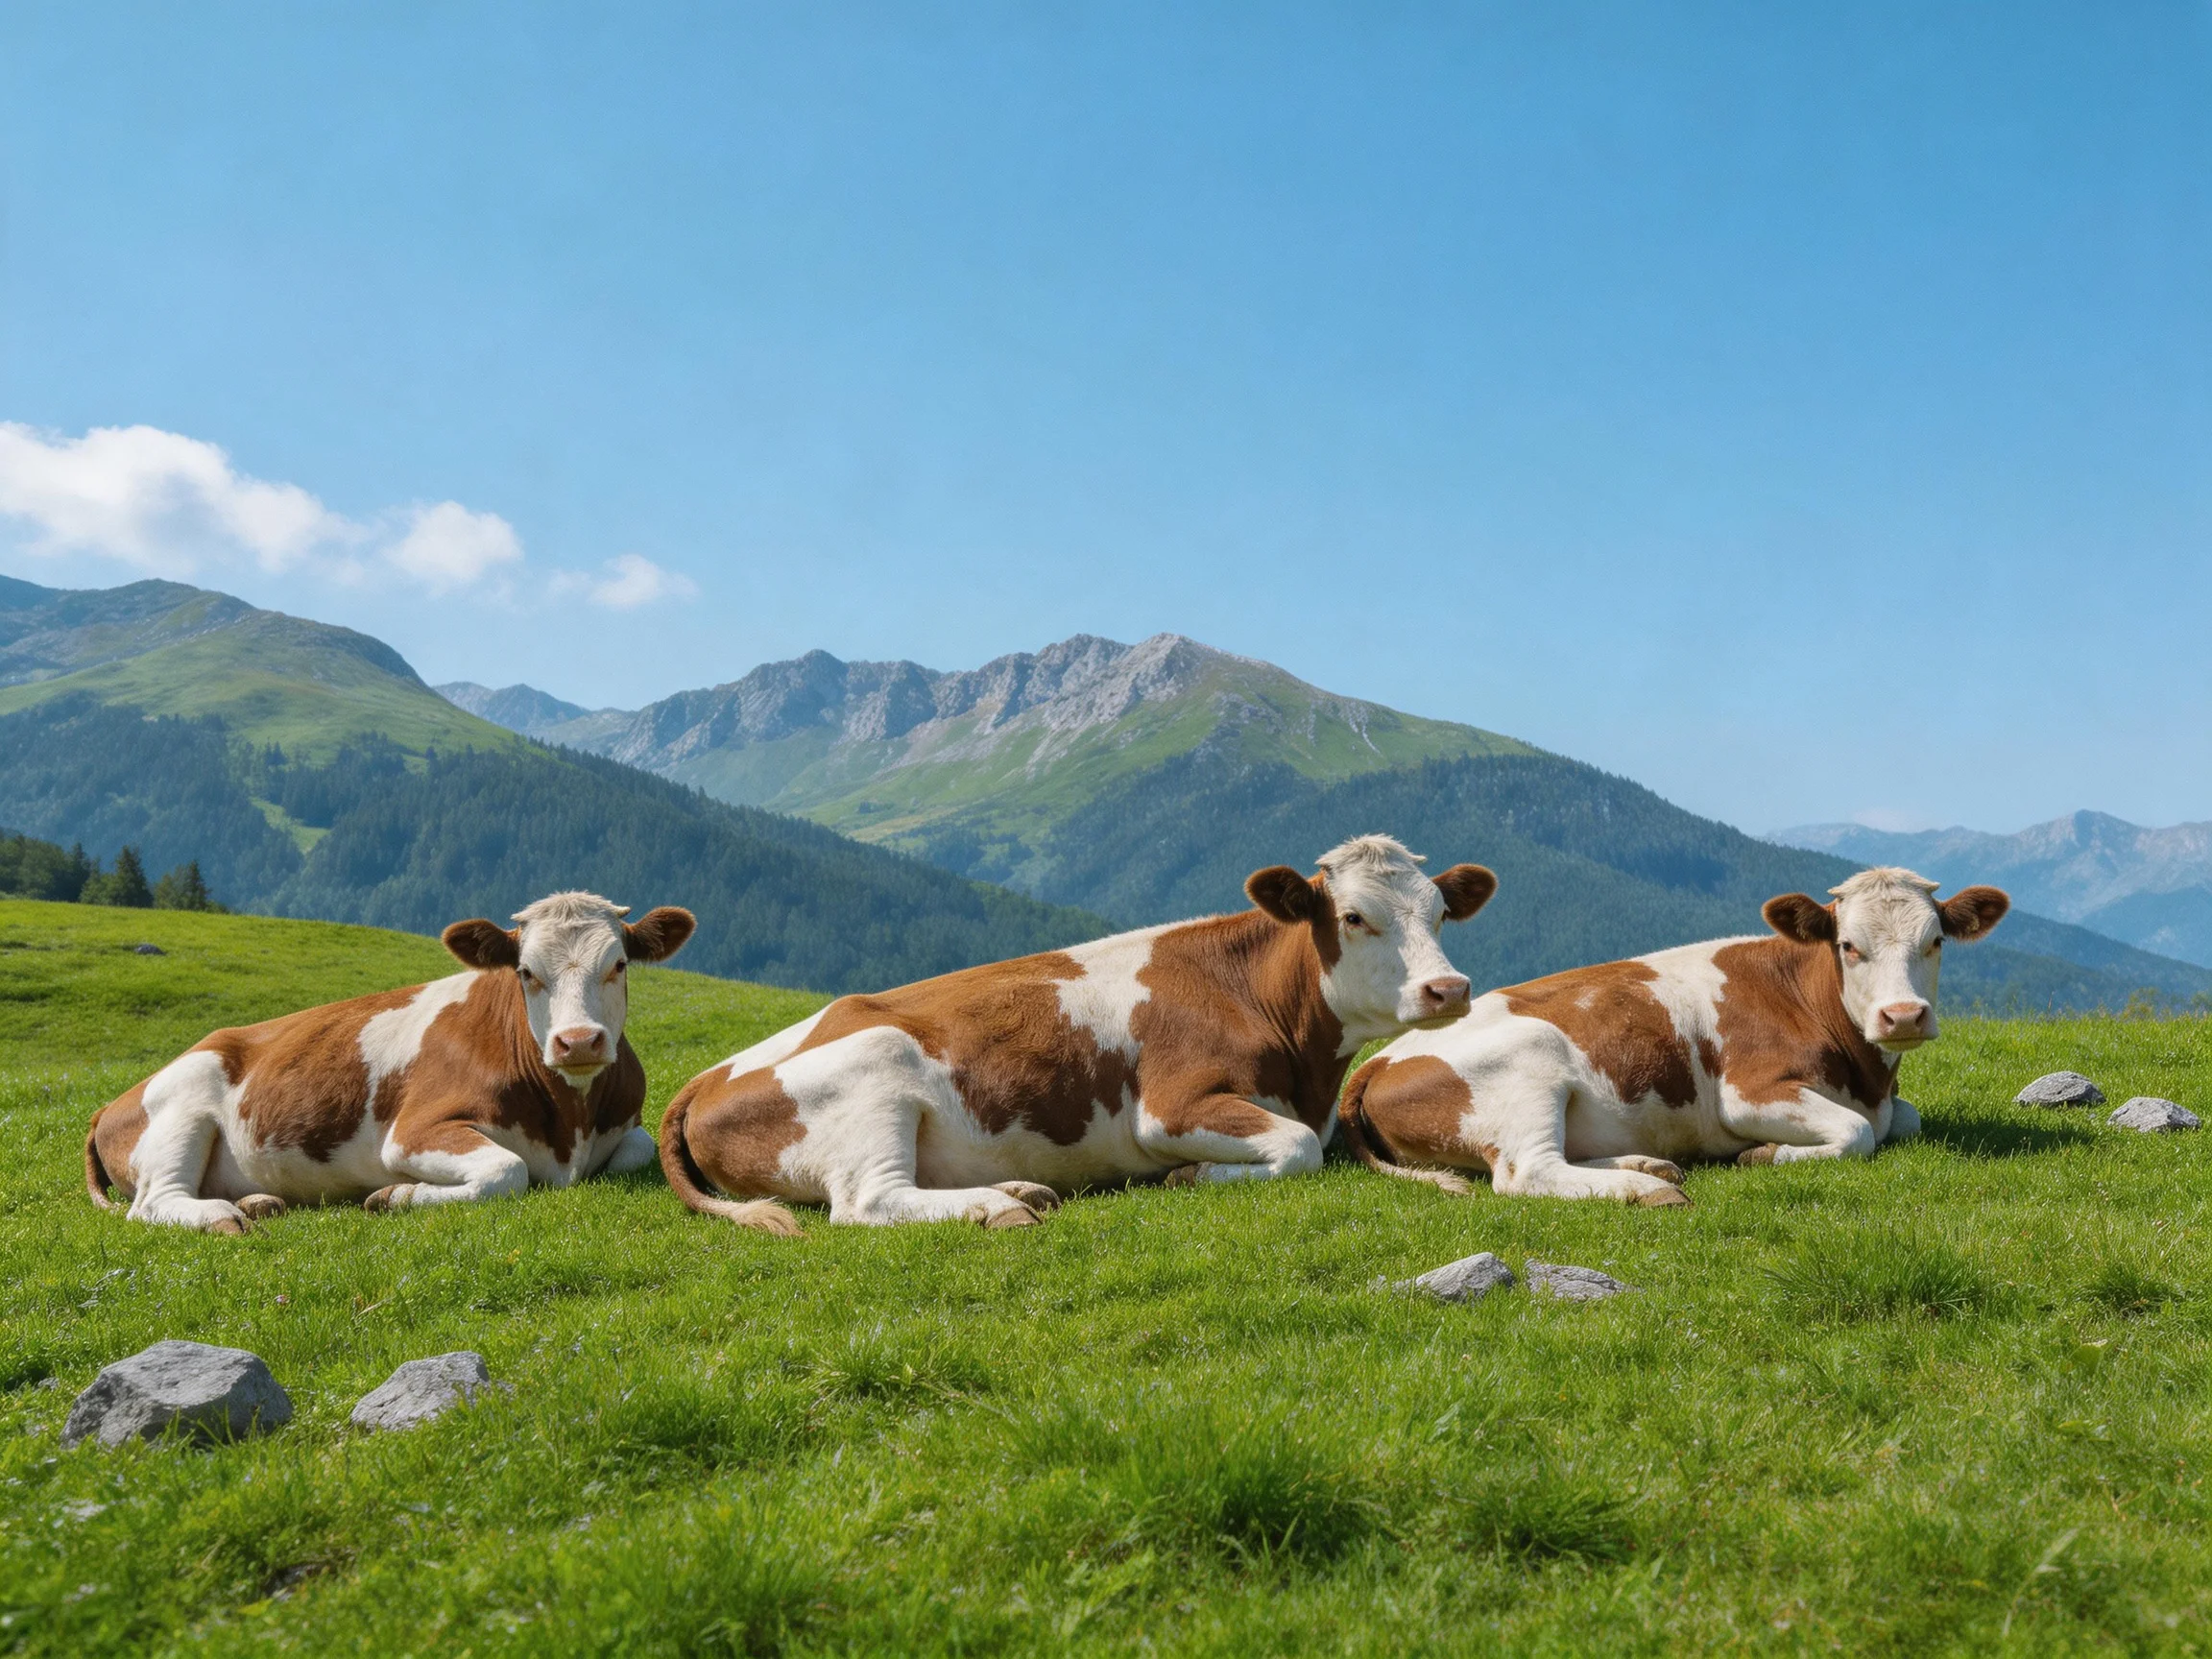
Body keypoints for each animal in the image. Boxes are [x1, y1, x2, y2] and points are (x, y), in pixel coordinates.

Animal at [84, 893, 696, 1232]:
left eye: (619, 964)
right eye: (526, 972)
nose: (579, 1042)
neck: (570, 1123)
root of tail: (108, 1104)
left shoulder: (626, 1125)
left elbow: (637, 1150)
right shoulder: (413, 1132)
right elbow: (507, 1171)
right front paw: (394, 1195)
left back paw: (257, 1202)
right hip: (182, 1109)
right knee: (154, 1202)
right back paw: (221, 1217)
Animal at [658, 835, 1497, 1234]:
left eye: (1441, 913)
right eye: (1353, 916)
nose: (1449, 988)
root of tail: (705, 1077)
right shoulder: (1172, 1105)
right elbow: (1295, 1148)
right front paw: (1190, 1175)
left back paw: (1017, 1189)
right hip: (877, 1061)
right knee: (867, 1201)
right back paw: (997, 1208)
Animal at [1337, 867, 2009, 1207]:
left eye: (1936, 941)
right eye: (1849, 945)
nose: (1904, 1016)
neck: (1867, 1077)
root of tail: (1378, 1061)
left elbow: (1905, 1119)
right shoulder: (1748, 1092)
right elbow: (1858, 1133)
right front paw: (1762, 1155)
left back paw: (1648, 1164)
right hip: (1532, 1058)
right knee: (1526, 1174)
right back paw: (1644, 1188)